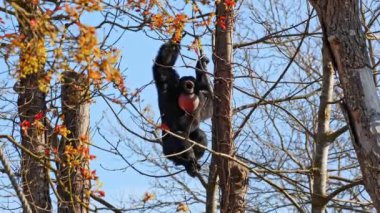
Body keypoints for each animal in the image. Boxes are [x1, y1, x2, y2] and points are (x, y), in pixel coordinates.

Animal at [154, 41, 214, 176]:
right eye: (185, 80)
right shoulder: (168, 83)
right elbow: (163, 65)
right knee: (179, 135)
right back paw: (189, 162)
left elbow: (209, 98)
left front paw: (201, 65)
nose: (189, 82)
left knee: (200, 134)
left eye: (191, 80)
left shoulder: (204, 102)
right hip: (167, 149)